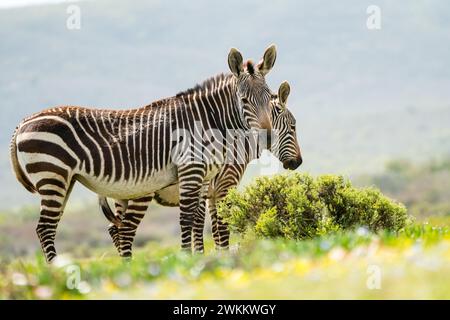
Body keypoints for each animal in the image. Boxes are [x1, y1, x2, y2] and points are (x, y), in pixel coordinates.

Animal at [9, 44, 278, 262]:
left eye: (269, 98)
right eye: (244, 100)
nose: (267, 137)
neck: (208, 120)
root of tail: (23, 122)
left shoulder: (203, 178)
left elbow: (198, 220)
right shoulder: (190, 170)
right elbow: (187, 218)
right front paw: (186, 259)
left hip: (65, 180)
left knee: (52, 226)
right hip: (52, 174)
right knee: (45, 228)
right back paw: (58, 272)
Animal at [100, 80, 300, 255]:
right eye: (293, 127)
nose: (298, 162)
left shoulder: (211, 193)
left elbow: (213, 229)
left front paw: (215, 254)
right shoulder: (224, 185)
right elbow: (219, 225)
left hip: (122, 194)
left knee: (114, 228)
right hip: (141, 192)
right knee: (126, 229)